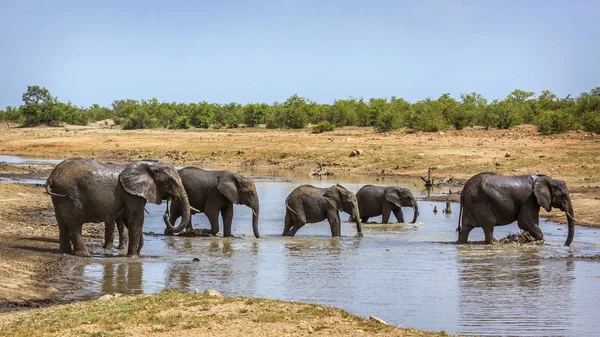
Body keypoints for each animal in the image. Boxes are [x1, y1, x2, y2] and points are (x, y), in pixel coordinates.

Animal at [45, 156, 191, 256]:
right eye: (171, 182)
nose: (165, 215)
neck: (149, 166)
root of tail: (52, 177)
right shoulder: (131, 194)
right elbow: (136, 219)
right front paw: (133, 257)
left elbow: (128, 219)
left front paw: (137, 253)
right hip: (71, 193)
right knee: (75, 223)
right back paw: (85, 254)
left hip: (60, 195)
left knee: (61, 222)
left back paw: (65, 251)